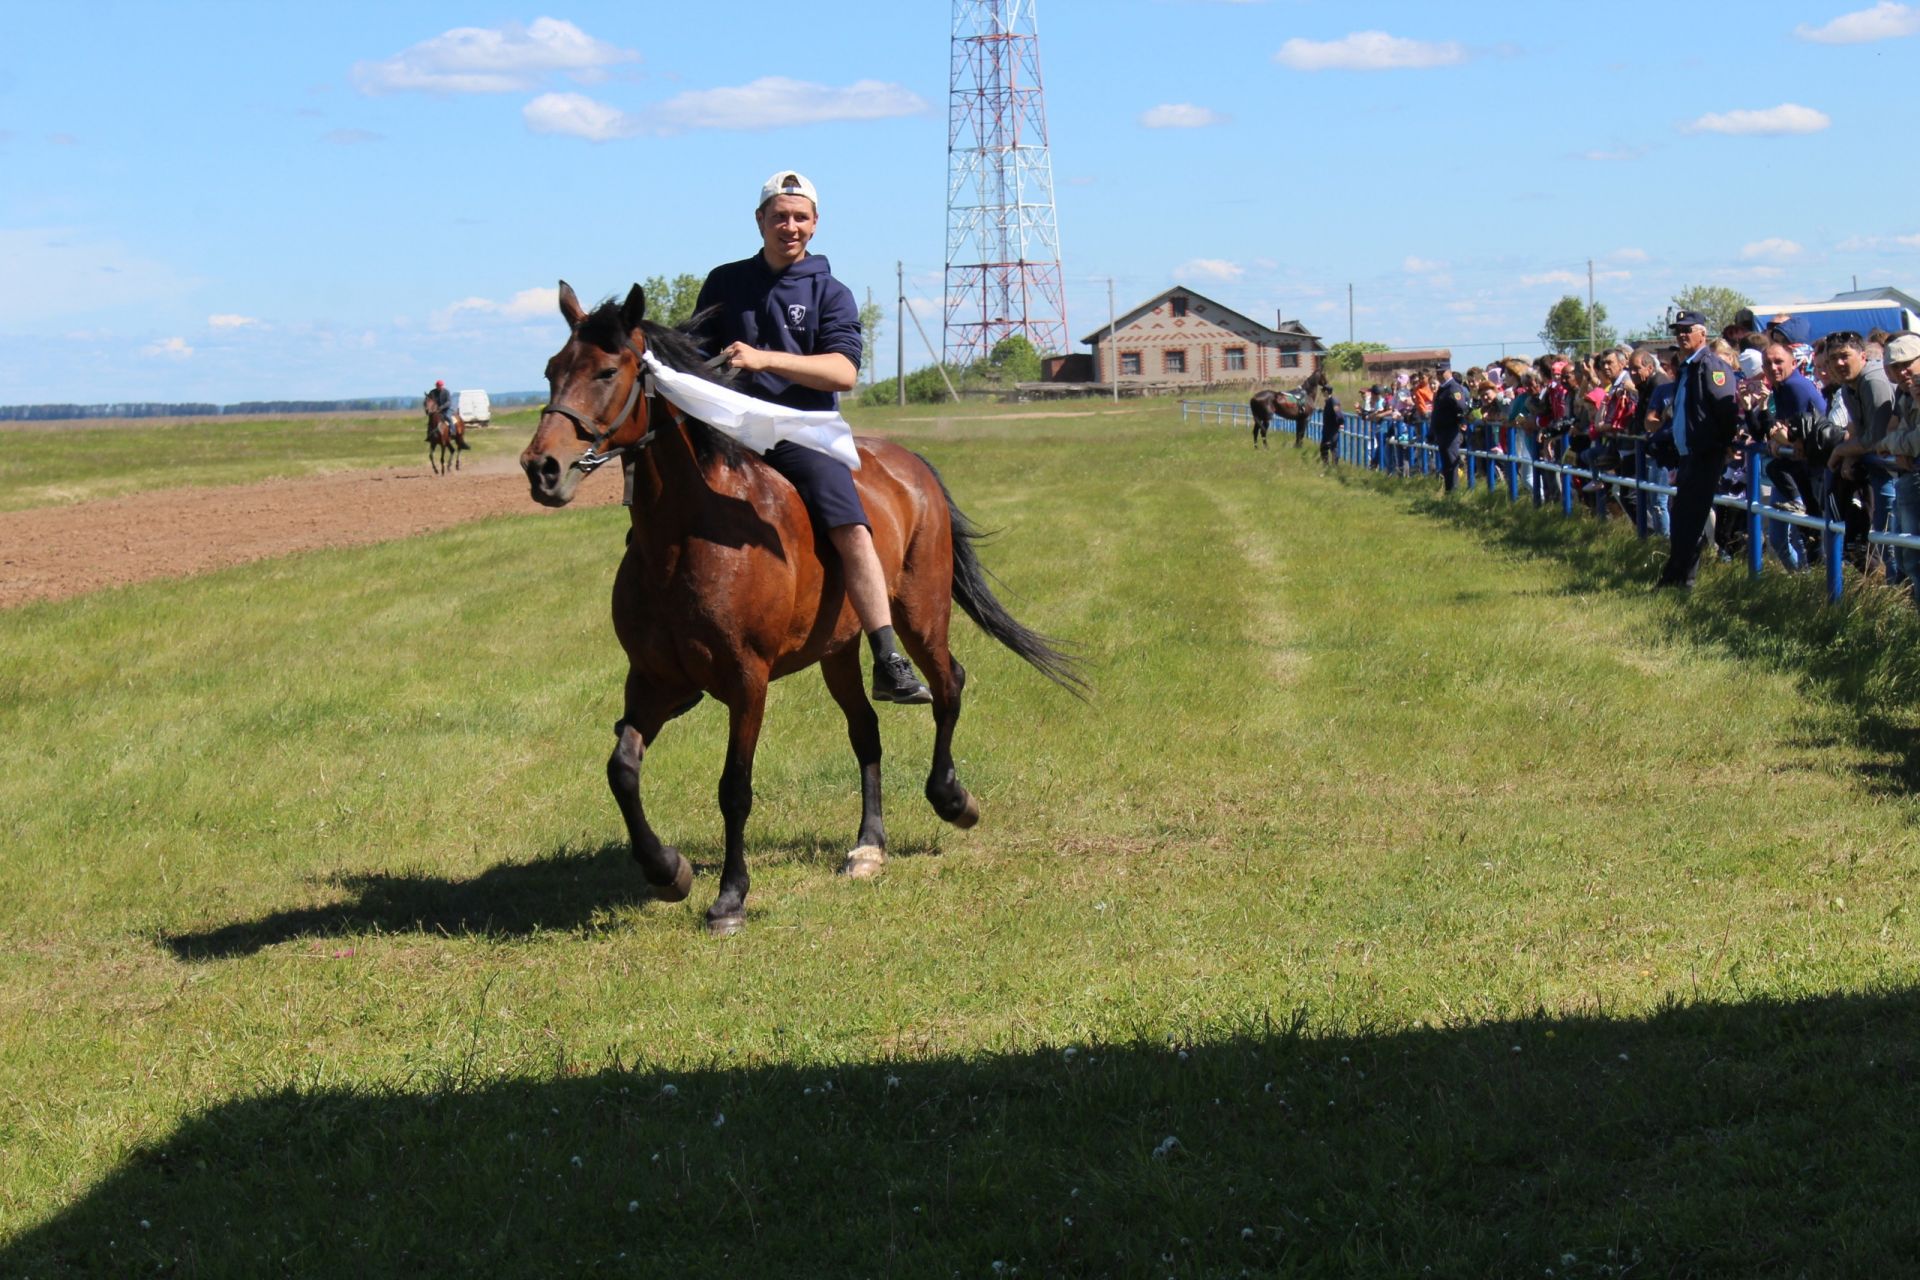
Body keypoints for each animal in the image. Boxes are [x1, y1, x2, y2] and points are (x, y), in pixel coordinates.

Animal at [518, 285, 1082, 936]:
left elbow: (734, 788)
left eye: (608, 372)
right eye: (551, 371)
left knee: (948, 685)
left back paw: (952, 798)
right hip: (837, 651)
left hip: (918, 616)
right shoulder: (654, 682)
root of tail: (911, 464)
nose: (542, 468)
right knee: (866, 732)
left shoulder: (747, 682)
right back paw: (869, 846)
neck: (687, 536)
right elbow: (622, 770)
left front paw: (730, 898)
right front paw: (668, 871)